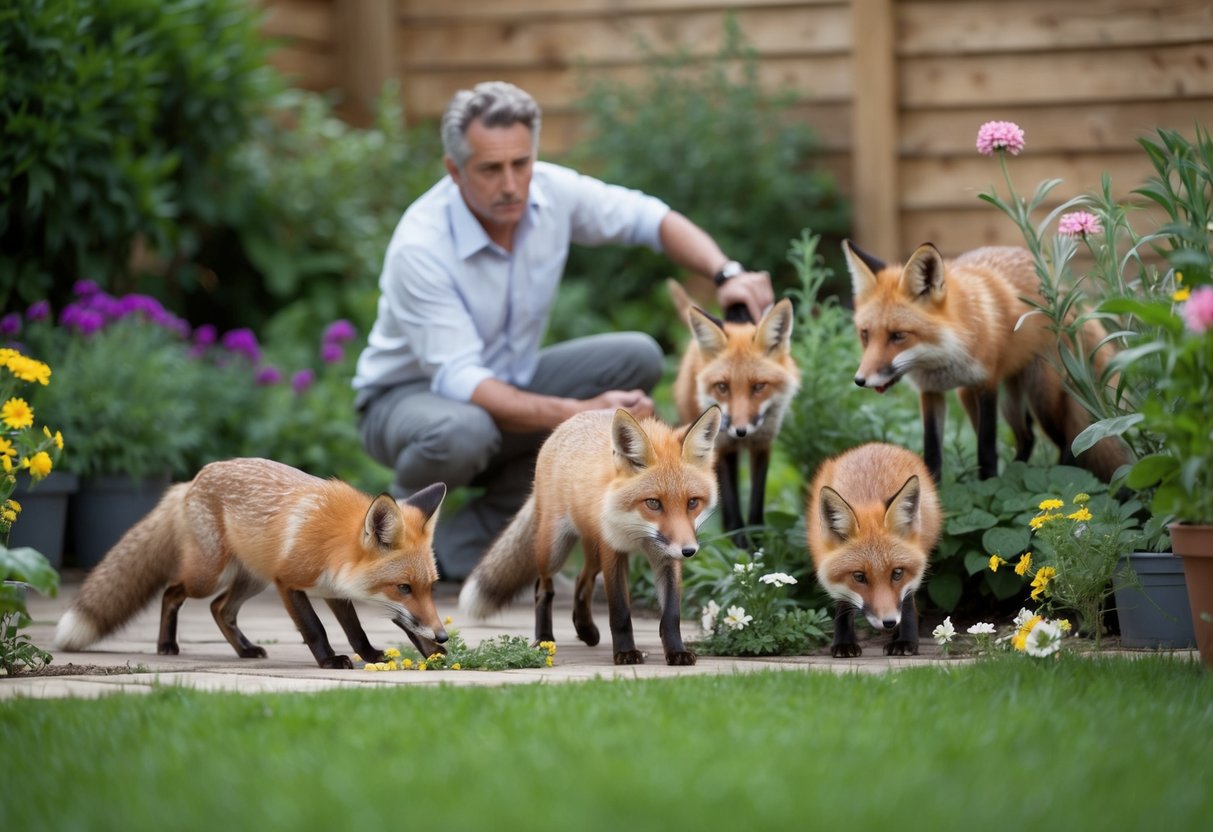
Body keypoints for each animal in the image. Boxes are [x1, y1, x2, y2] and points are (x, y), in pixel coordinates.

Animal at [54, 458, 449, 669]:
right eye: (403, 588)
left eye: (430, 588)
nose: (443, 636)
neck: (332, 544)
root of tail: (190, 481)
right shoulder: (288, 582)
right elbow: (315, 629)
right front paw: (329, 660)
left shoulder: (332, 591)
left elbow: (356, 631)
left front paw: (370, 655)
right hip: (210, 575)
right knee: (173, 591)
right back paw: (166, 644)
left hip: (251, 579)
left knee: (220, 609)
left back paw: (244, 650)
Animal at [459, 406, 722, 666]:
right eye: (653, 503)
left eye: (692, 502)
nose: (688, 551)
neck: (638, 535)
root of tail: (575, 417)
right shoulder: (612, 550)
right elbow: (620, 612)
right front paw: (625, 653)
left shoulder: (666, 557)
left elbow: (671, 614)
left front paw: (677, 652)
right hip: (554, 549)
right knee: (543, 586)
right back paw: (544, 639)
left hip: (593, 553)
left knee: (582, 580)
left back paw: (585, 630)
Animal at [668, 279, 800, 542]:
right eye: (722, 387)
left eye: (759, 386)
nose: (740, 431)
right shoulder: (721, 448)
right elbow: (732, 511)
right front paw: (739, 544)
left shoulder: (762, 445)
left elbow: (756, 506)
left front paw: (757, 542)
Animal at [807, 442, 942, 657]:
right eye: (859, 577)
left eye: (897, 573)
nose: (889, 622)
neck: (866, 500)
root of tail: (876, 445)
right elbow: (843, 603)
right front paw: (844, 643)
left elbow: (907, 602)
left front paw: (905, 641)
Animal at [843, 239, 1126, 483]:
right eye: (865, 334)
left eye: (898, 336)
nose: (860, 380)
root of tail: (1065, 291)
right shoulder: (931, 392)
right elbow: (932, 453)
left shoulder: (987, 383)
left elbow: (986, 448)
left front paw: (988, 484)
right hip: (985, 398)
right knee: (1027, 437)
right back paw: (1014, 474)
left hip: (1041, 395)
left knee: (1069, 440)